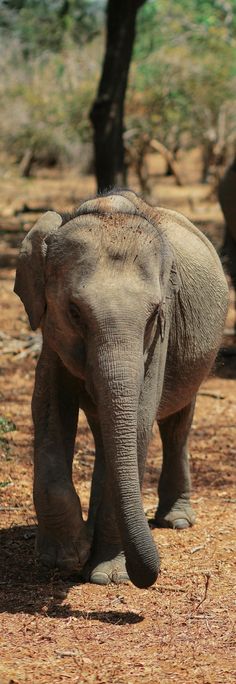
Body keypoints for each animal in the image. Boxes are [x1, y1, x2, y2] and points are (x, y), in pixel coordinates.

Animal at [13, 191, 229, 588]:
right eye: (74, 311)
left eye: (153, 315)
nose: (149, 577)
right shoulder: (50, 332)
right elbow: (48, 408)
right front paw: (64, 558)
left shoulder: (162, 336)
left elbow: (141, 418)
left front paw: (107, 577)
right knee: (107, 435)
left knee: (176, 425)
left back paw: (176, 520)